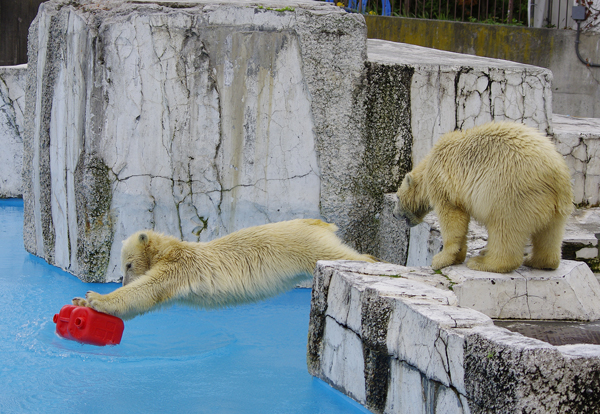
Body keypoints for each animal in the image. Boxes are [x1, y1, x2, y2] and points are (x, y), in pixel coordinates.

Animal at [72, 220, 378, 320]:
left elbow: (148, 290)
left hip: (306, 245)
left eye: (128, 264)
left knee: (338, 253)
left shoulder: (179, 267)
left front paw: (95, 298)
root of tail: (319, 223)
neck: (170, 248)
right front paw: (79, 300)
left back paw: (371, 261)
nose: (123, 281)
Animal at [394, 121, 572, 274]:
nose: (395, 214)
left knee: (504, 227)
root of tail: (555, 175)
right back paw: (538, 261)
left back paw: (483, 262)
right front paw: (457, 256)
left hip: (511, 193)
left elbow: (452, 217)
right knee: (551, 232)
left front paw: (441, 259)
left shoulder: (444, 183)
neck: (428, 165)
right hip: (556, 205)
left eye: (397, 197)